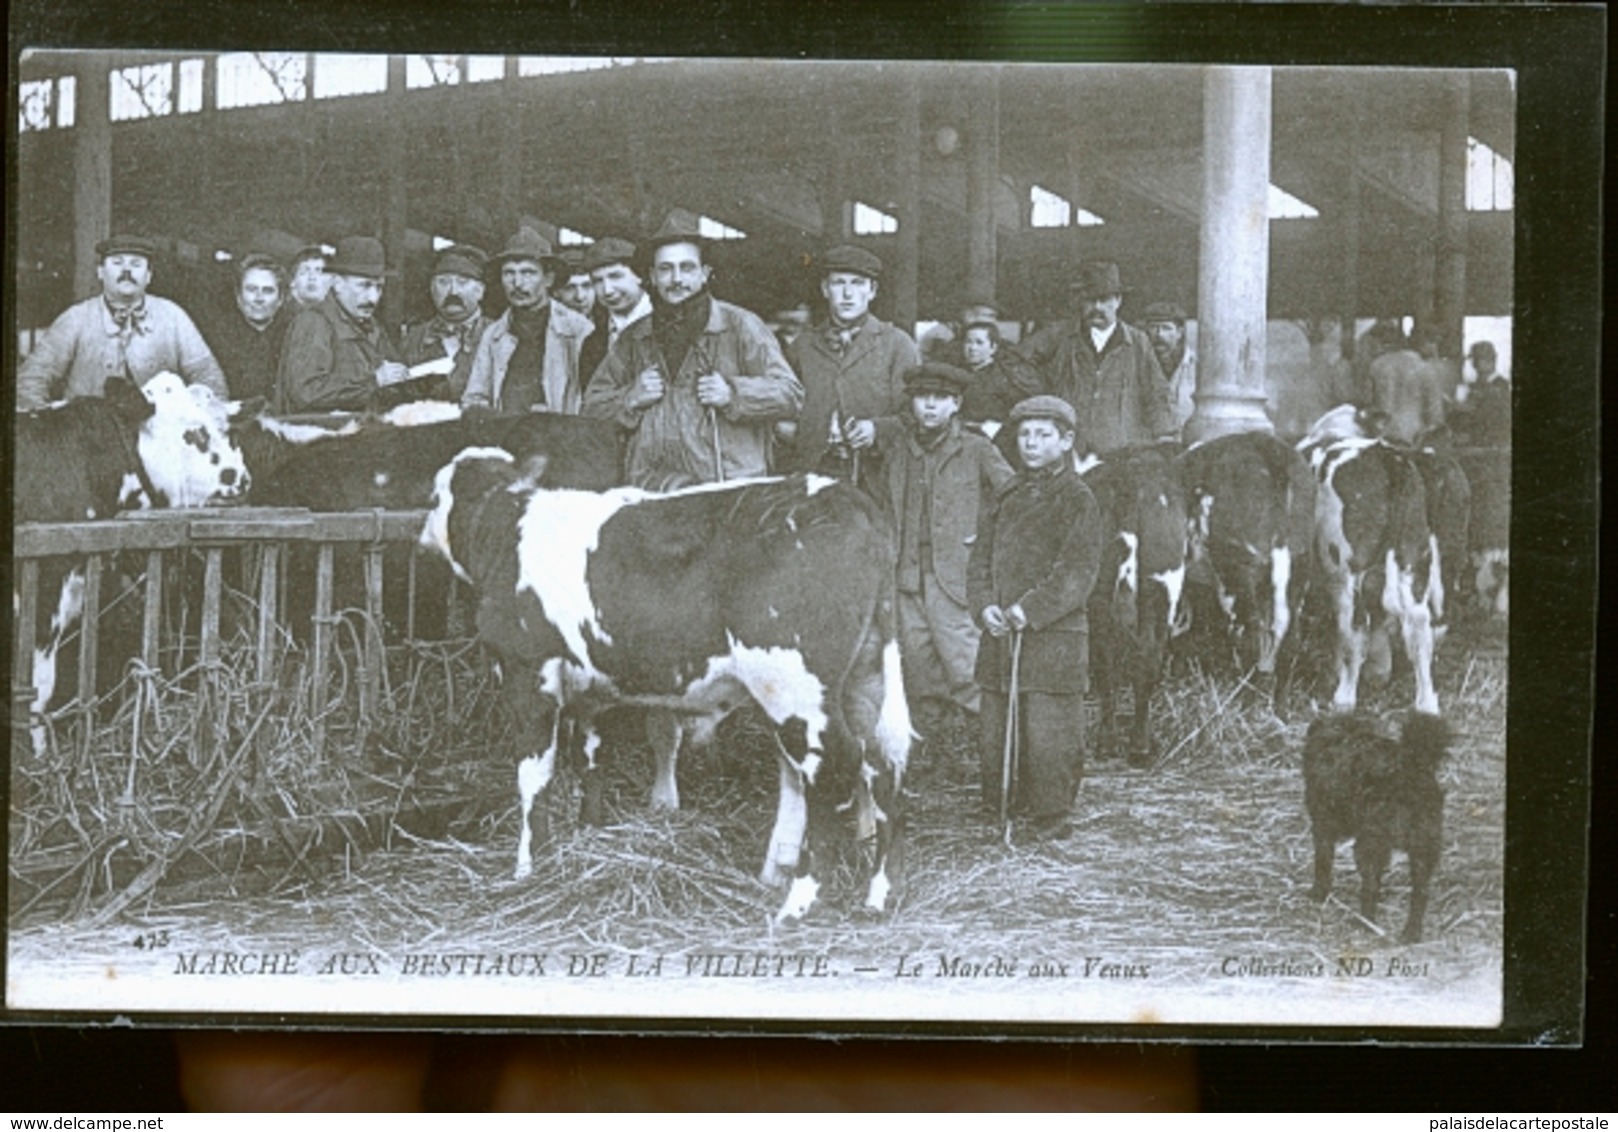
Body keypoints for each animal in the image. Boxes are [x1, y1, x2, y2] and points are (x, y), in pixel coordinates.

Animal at [423, 456, 919, 925]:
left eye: (433, 497)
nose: (422, 535)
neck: (509, 530)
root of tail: (846, 496)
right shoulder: (590, 691)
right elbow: (590, 760)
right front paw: (589, 833)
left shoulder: (527, 672)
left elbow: (534, 775)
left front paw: (529, 866)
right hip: (865, 678)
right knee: (882, 764)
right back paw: (880, 894)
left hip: (793, 688)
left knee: (833, 771)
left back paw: (799, 903)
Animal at [1300, 711, 1456, 944]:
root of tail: (1411, 771)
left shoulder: (1323, 823)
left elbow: (1323, 861)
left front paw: (1318, 892)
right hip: (1423, 845)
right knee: (1420, 892)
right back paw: (1411, 932)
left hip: (1370, 843)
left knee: (1370, 886)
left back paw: (1365, 923)